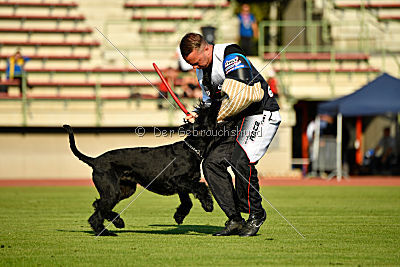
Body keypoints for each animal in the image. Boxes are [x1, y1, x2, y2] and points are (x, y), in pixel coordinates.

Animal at [64, 102, 227, 237]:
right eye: (206, 114)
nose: (212, 103)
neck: (192, 149)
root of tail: (95, 160)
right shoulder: (177, 180)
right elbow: (201, 187)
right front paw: (208, 205)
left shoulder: (183, 186)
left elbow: (187, 202)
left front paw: (179, 216)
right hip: (112, 190)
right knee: (97, 213)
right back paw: (105, 231)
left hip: (125, 189)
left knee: (98, 205)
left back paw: (117, 222)